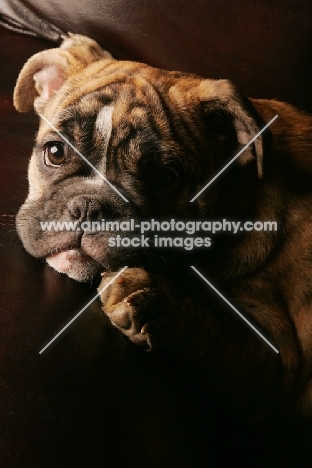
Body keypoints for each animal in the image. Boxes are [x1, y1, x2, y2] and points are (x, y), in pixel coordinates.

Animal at [14, 33, 312, 420]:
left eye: (163, 178)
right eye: (55, 152)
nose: (89, 207)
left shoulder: (277, 361)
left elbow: (211, 323)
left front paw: (152, 302)